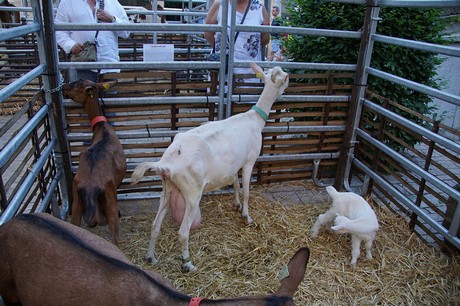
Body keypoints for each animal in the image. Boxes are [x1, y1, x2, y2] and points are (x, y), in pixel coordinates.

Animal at [61, 79, 126, 246]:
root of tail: (90, 188)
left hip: (76, 203)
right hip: (109, 201)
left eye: (77, 85)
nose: (63, 87)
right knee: (115, 240)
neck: (101, 128)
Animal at [130, 62, 288, 270]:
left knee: (155, 224)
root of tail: (165, 164)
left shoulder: (233, 164)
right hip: (192, 192)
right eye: (284, 78)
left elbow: (235, 184)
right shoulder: (249, 160)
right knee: (183, 232)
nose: (289, 80)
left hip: (167, 187)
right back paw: (188, 263)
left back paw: (150, 257)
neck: (254, 119)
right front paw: (247, 216)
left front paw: (236, 204)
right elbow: (246, 190)